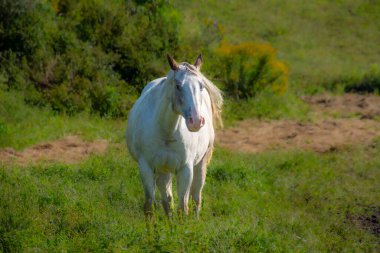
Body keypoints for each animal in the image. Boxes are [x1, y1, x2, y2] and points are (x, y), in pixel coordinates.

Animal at [126, 54, 223, 216]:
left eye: (201, 86)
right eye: (178, 86)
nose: (196, 121)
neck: (166, 132)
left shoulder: (185, 169)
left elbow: (183, 207)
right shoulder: (146, 167)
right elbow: (150, 205)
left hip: (200, 163)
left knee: (196, 197)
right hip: (163, 170)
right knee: (167, 200)